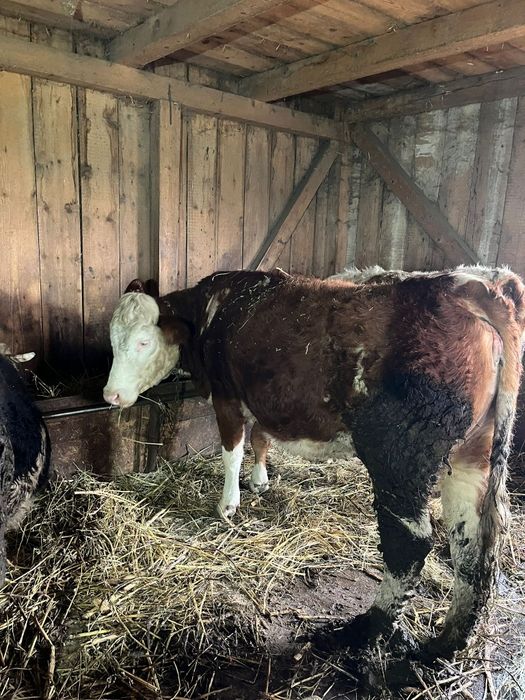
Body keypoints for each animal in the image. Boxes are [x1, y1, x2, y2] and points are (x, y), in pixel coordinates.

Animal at [103, 266, 525, 666]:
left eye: (143, 342)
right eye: (112, 341)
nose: (111, 395)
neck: (214, 310)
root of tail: (471, 284)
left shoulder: (227, 396)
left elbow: (232, 451)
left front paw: (228, 504)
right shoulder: (263, 397)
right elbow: (260, 439)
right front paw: (260, 481)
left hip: (400, 455)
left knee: (410, 544)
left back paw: (362, 630)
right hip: (473, 453)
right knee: (472, 543)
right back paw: (444, 643)